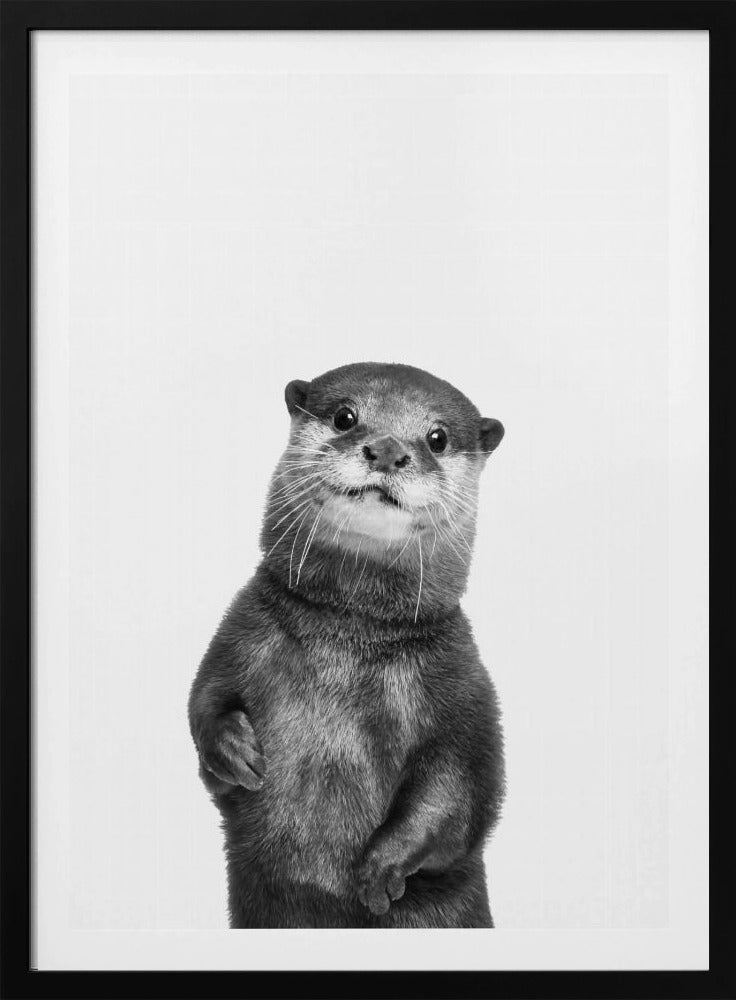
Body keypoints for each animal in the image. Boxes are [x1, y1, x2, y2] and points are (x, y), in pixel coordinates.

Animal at [188, 362, 506, 928]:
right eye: (345, 417)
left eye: (438, 437)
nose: (386, 450)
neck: (349, 637)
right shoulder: (239, 633)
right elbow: (203, 699)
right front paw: (232, 750)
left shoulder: (463, 685)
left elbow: (460, 787)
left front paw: (382, 867)